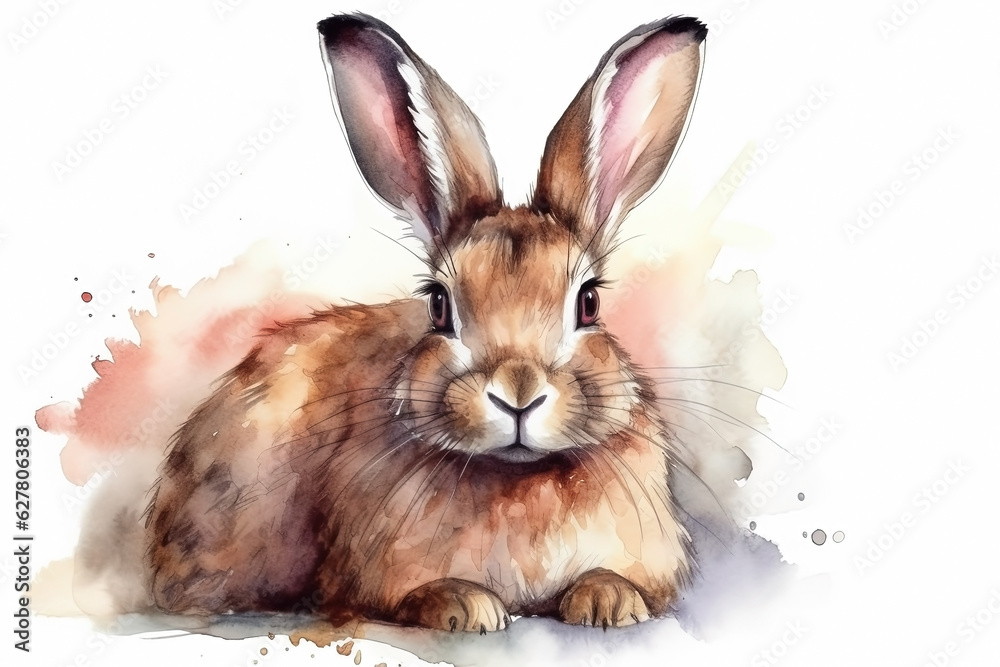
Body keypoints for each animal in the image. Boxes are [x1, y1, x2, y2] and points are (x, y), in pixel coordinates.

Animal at [144, 12, 706, 633]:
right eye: (438, 304)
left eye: (589, 303)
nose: (517, 394)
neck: (519, 476)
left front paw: (608, 601)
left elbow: (620, 581)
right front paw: (466, 607)